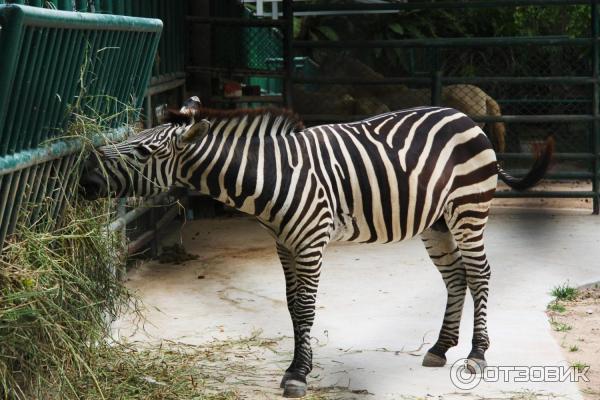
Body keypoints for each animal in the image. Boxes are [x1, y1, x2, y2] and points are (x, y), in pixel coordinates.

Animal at [79, 96, 552, 396]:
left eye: (142, 151)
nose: (87, 181)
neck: (269, 177)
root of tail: (466, 118)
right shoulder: (284, 245)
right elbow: (292, 306)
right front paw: (295, 365)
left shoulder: (309, 241)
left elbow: (306, 307)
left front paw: (298, 375)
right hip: (435, 222)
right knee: (456, 277)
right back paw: (439, 348)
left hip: (468, 210)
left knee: (480, 274)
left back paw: (477, 353)